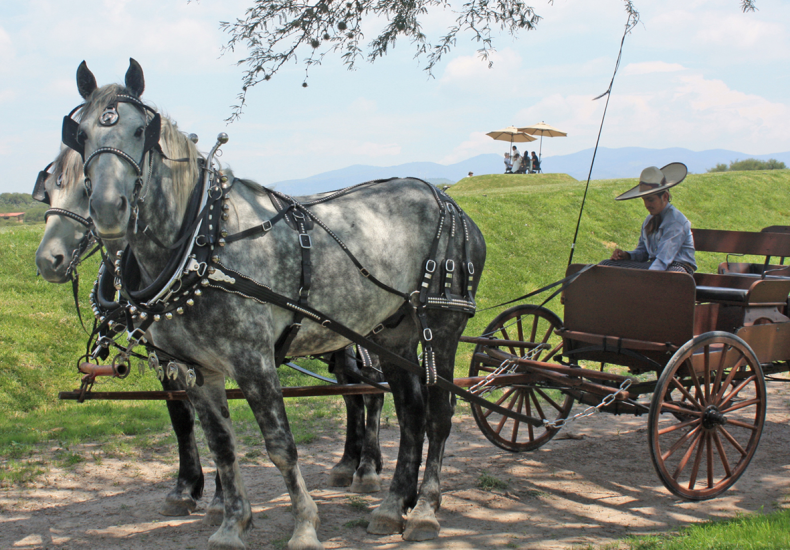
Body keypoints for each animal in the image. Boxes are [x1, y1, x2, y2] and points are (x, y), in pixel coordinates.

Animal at [71, 60, 486, 550]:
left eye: (140, 131)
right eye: (79, 135)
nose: (107, 209)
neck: (204, 241)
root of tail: (448, 200)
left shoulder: (253, 360)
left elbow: (280, 446)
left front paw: (305, 524)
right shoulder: (195, 368)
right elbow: (223, 446)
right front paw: (232, 524)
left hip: (441, 325)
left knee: (438, 414)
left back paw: (424, 509)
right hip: (393, 335)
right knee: (410, 414)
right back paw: (391, 505)